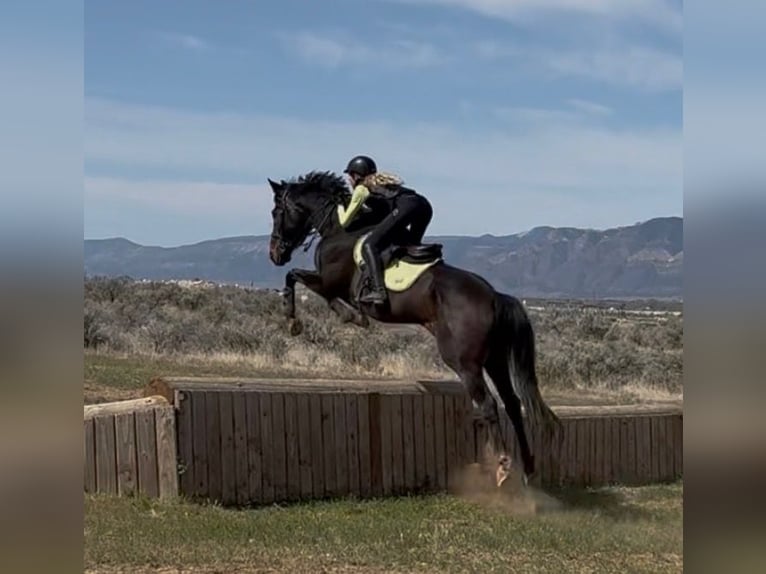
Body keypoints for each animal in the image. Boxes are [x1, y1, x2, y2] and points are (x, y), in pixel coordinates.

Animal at [265, 170, 561, 483]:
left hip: (464, 362)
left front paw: (298, 319)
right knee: (513, 404)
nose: (275, 254)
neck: (338, 228)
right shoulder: (330, 283)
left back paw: (502, 466)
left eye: (276, 212)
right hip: (495, 359)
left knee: (489, 405)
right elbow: (304, 282)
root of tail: (494, 297)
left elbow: (295, 277)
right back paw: (528, 468)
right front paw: (350, 316)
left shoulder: (328, 280)